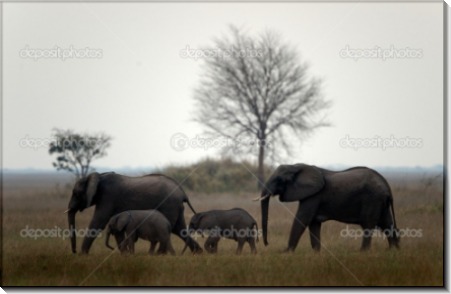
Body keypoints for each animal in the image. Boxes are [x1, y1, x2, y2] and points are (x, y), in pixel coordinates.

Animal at [65, 171, 201, 254]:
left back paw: (158, 255)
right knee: (179, 229)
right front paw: (124, 254)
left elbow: (98, 222)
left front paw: (83, 255)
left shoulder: (108, 197)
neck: (99, 176)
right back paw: (199, 253)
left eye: (76, 194)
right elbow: (117, 229)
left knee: (169, 230)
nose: (74, 251)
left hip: (169, 204)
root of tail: (182, 192)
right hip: (176, 207)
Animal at [256, 164, 400, 252]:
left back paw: (362, 252)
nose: (267, 244)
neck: (297, 166)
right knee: (387, 224)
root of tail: (387, 186)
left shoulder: (314, 196)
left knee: (368, 225)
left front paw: (286, 252)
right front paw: (316, 253)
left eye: (279, 180)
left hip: (372, 199)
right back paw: (394, 251)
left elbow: (303, 219)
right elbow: (313, 223)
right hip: (380, 202)